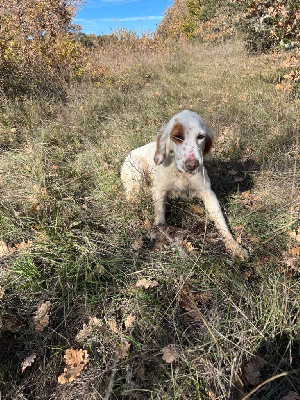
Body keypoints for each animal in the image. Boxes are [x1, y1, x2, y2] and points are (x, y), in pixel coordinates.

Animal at [120, 110, 247, 260]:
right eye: (177, 137)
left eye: (200, 136)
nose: (192, 165)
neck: (180, 174)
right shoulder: (159, 191)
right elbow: (159, 220)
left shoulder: (208, 192)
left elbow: (221, 221)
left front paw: (235, 246)